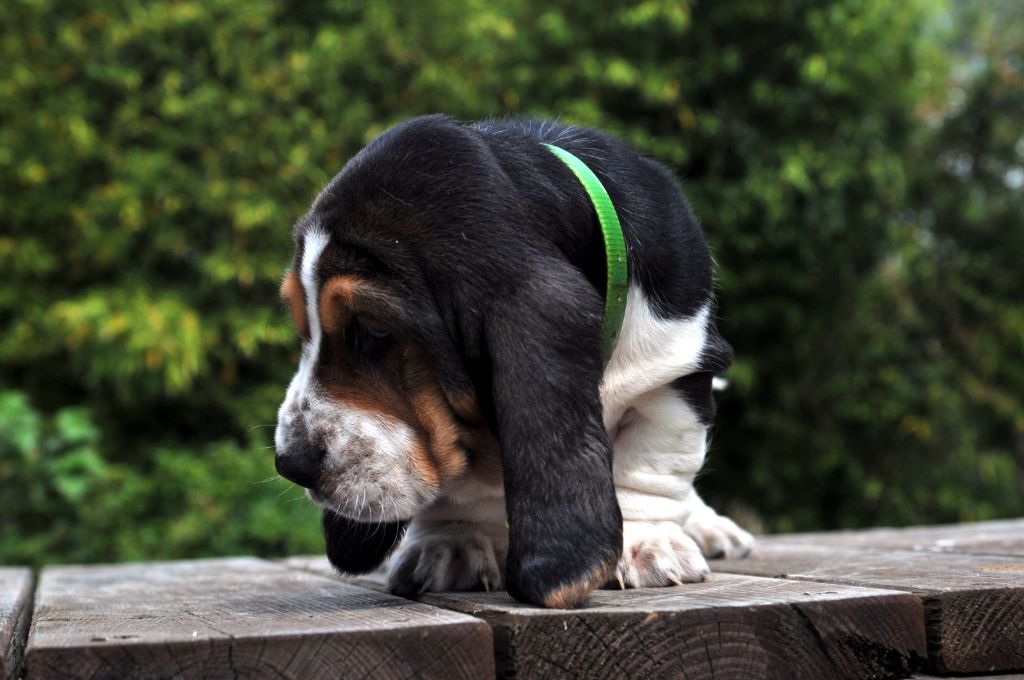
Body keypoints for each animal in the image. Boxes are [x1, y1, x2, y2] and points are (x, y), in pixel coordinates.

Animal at [274, 114, 753, 609]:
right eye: (305, 329)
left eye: (374, 332)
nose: (291, 464)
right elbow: (462, 484)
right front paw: (453, 543)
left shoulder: (672, 371)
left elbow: (647, 466)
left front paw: (646, 544)